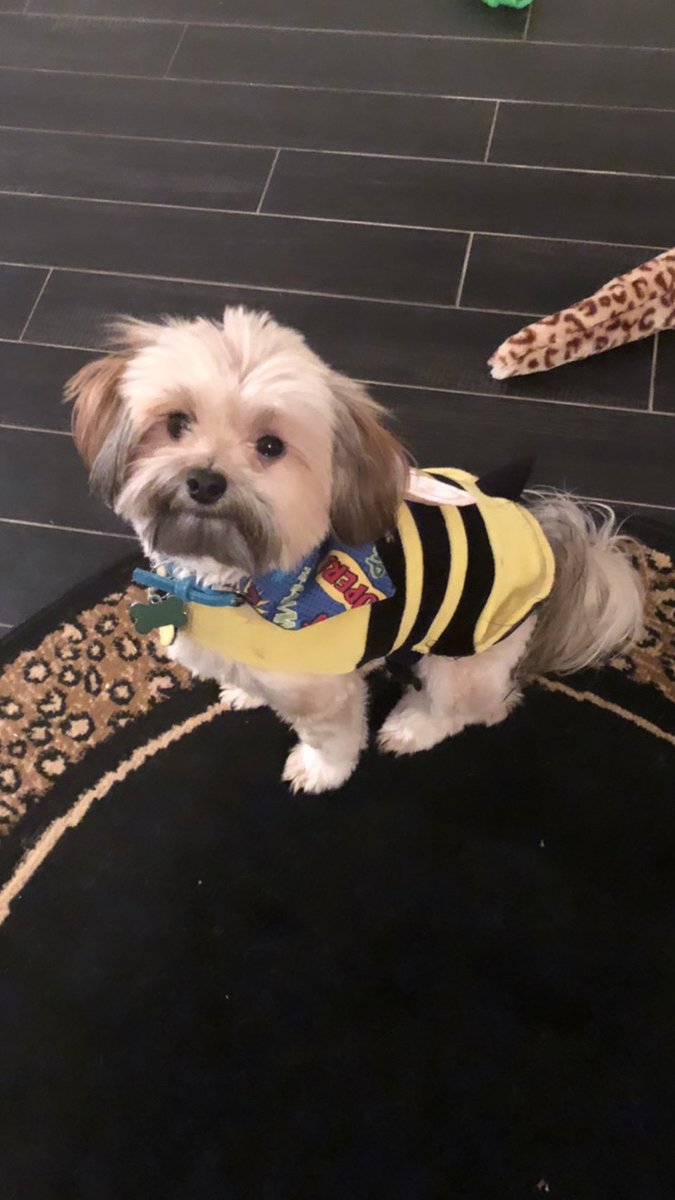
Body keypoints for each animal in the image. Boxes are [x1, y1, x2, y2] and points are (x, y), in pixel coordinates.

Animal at [66, 307, 644, 794]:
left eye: (271, 446)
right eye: (176, 423)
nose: (205, 481)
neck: (240, 584)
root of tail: (547, 542)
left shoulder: (324, 695)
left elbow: (332, 739)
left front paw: (319, 771)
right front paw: (246, 691)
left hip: (464, 660)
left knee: (480, 706)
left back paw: (414, 726)